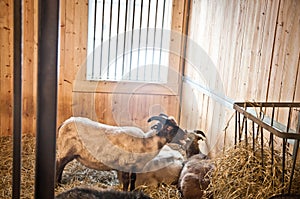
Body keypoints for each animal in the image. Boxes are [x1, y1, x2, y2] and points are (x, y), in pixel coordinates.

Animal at [55, 116, 184, 191]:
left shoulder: (134, 167)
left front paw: (132, 191)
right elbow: (126, 182)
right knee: (59, 165)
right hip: (65, 151)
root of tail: (64, 123)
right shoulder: (124, 165)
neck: (144, 142)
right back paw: (57, 184)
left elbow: (133, 179)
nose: (185, 134)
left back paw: (60, 184)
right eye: (169, 128)